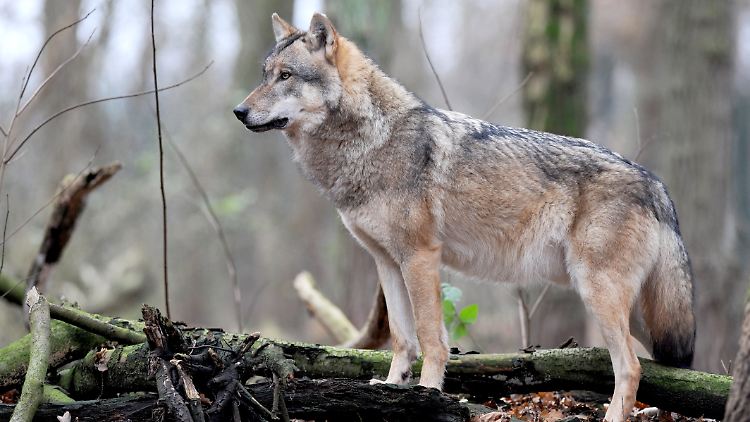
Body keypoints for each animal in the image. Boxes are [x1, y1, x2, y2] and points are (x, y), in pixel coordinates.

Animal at [233, 13, 696, 422]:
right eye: (264, 74)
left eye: (286, 76)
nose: (238, 111)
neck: (371, 141)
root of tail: (656, 183)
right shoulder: (387, 262)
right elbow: (401, 338)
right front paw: (391, 389)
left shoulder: (420, 257)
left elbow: (431, 338)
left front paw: (427, 394)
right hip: (631, 308)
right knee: (657, 364)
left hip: (599, 293)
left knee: (631, 368)